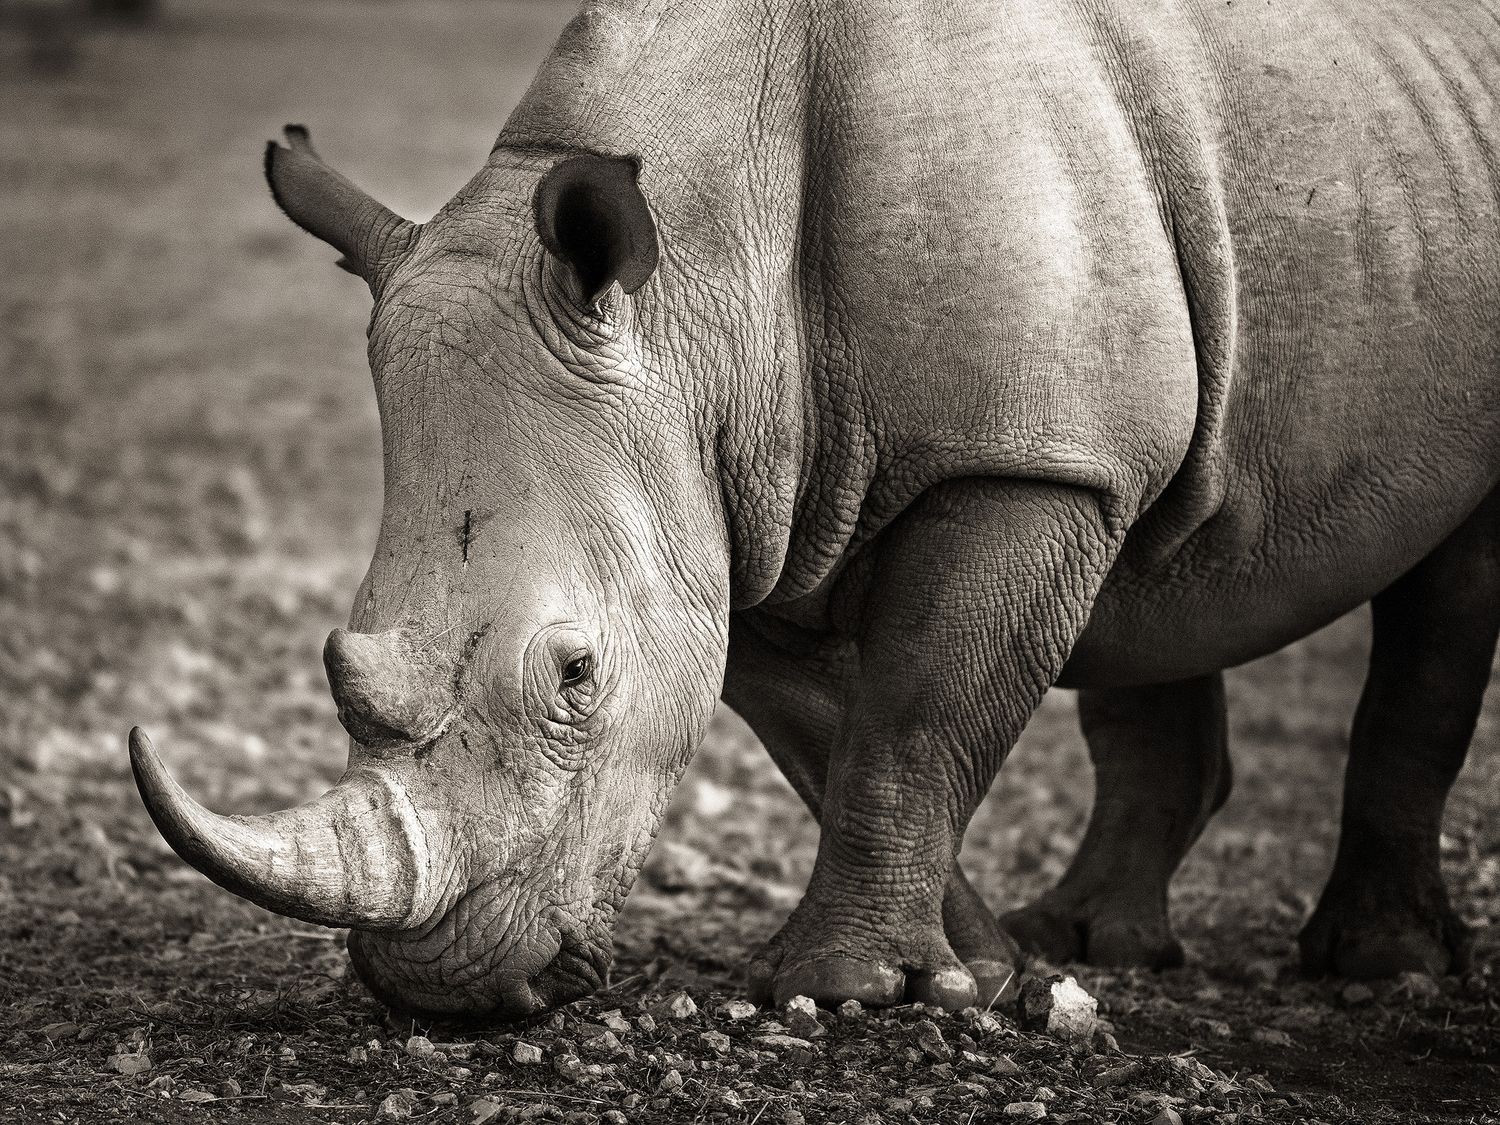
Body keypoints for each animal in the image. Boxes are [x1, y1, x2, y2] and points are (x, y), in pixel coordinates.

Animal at [129, 0, 1500, 1019]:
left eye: (576, 675)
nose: (436, 990)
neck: (699, 275)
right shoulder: (737, 503)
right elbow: (840, 740)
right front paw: (972, 967)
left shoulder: (1013, 460)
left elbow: (916, 716)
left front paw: (846, 991)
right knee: (1158, 557)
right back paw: (1090, 945)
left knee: (1443, 589)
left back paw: (1376, 969)